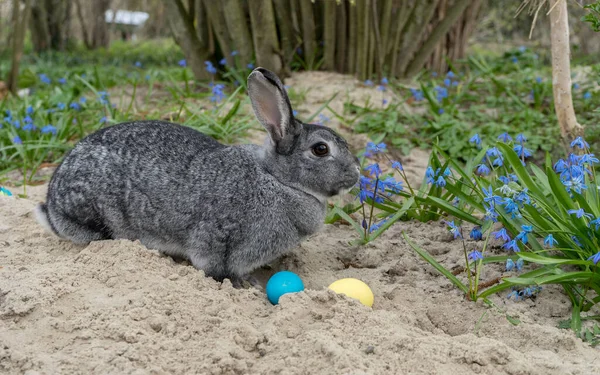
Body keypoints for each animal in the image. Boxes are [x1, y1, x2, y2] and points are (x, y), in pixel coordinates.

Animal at [35, 67, 360, 286]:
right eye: (320, 149)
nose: (356, 174)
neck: (278, 180)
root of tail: (51, 206)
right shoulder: (218, 238)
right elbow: (214, 265)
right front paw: (245, 284)